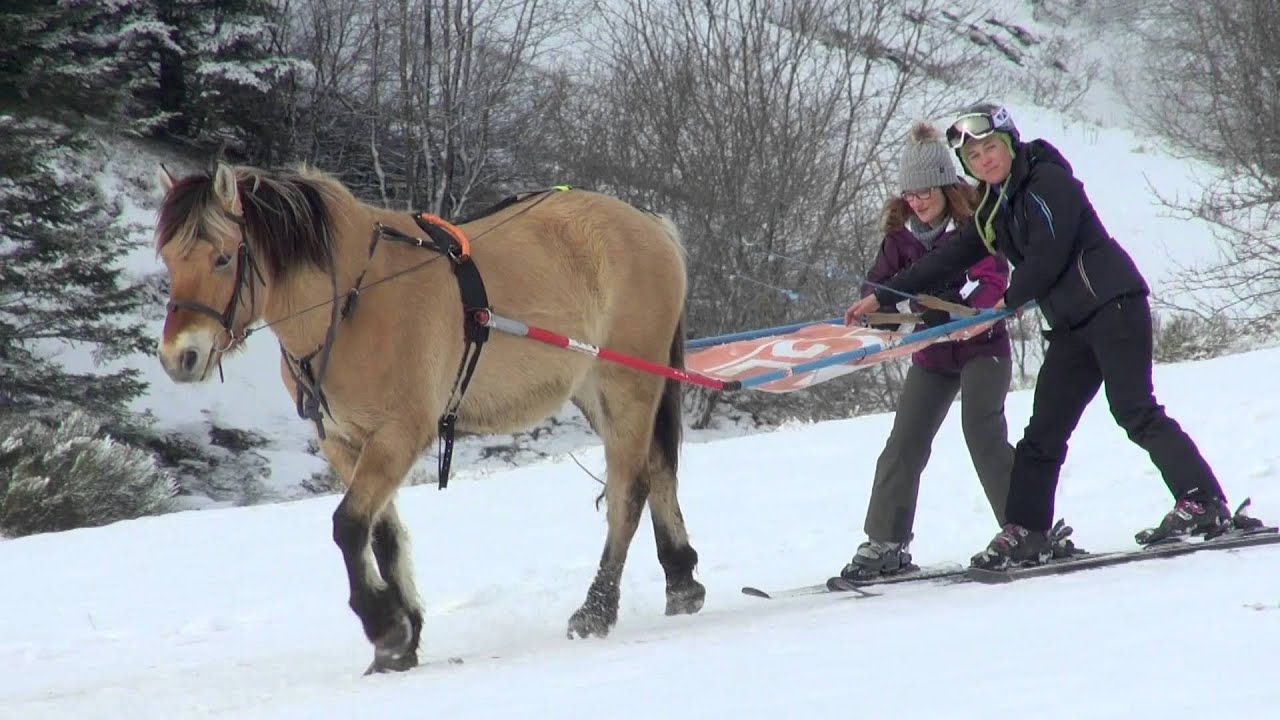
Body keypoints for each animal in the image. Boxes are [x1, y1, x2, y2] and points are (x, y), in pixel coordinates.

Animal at [153, 159, 706, 671]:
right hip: (596, 388)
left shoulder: (399, 434)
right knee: (657, 470)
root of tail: (651, 224)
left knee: (628, 490)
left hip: (627, 383)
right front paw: (403, 636)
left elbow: (348, 525)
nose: (180, 357)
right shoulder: (343, 442)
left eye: (223, 257)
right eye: (169, 260)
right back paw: (681, 580)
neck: (353, 300)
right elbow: (381, 533)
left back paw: (596, 610)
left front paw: (385, 625)